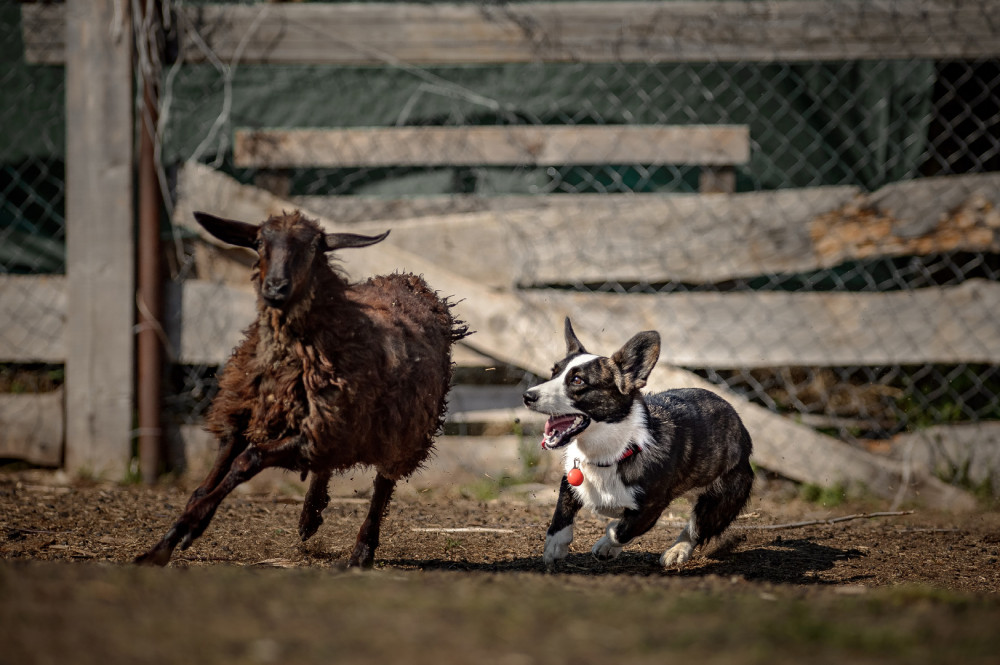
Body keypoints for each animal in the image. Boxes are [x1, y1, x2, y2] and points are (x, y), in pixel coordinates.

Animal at [134, 210, 472, 568]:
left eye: (312, 247)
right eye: (259, 242)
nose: (276, 287)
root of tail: (412, 282)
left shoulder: (308, 433)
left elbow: (247, 461)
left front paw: (192, 525)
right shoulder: (243, 416)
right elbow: (207, 482)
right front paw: (162, 545)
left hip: (401, 429)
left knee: (383, 484)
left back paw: (361, 552)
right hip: (341, 427)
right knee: (327, 466)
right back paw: (310, 517)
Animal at [524, 320, 752, 568]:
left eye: (577, 380)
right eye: (553, 373)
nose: (527, 396)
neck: (608, 454)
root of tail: (740, 425)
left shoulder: (650, 509)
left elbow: (620, 531)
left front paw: (607, 542)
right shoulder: (571, 481)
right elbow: (561, 516)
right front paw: (554, 548)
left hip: (719, 503)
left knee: (695, 528)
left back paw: (676, 551)